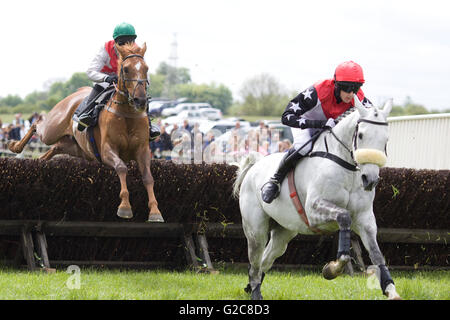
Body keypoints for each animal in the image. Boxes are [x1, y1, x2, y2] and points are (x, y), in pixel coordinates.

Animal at [8, 42, 164, 222]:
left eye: (146, 68)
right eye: (125, 69)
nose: (140, 100)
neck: (127, 116)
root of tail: (75, 93)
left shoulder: (142, 150)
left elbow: (148, 178)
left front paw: (155, 211)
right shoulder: (107, 151)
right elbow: (121, 167)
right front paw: (124, 207)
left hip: (74, 147)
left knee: (52, 150)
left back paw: (37, 163)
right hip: (51, 130)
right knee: (37, 124)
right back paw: (15, 146)